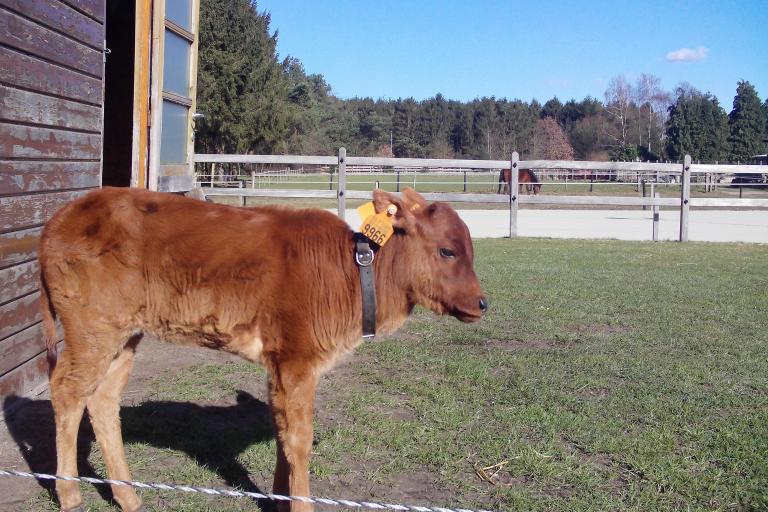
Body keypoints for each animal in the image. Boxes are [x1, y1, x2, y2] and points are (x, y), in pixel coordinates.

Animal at [39, 188, 486, 512]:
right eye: (447, 250)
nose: (482, 303)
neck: (351, 274)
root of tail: (63, 214)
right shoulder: (297, 360)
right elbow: (299, 439)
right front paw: (301, 506)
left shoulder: (279, 365)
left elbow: (281, 432)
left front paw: (278, 497)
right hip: (91, 329)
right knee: (67, 391)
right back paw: (70, 494)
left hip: (124, 334)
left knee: (102, 400)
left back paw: (128, 496)